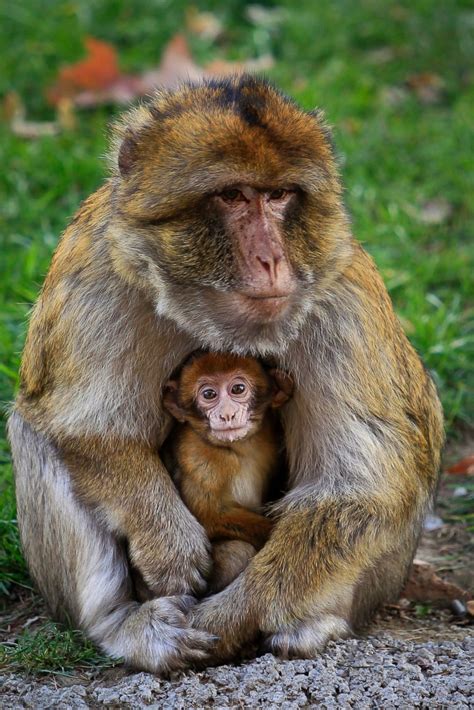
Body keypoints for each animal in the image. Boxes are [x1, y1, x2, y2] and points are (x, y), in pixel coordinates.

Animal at [161, 352, 290, 596]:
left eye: (238, 389)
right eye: (209, 394)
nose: (227, 415)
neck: (238, 448)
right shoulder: (198, 455)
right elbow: (208, 516)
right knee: (236, 553)